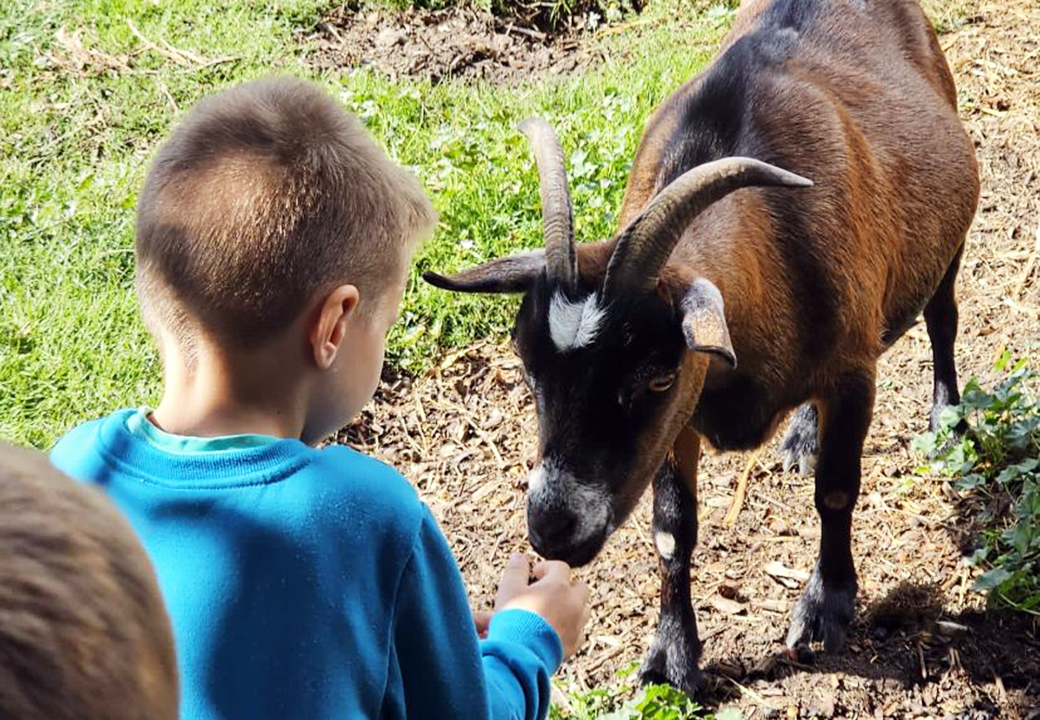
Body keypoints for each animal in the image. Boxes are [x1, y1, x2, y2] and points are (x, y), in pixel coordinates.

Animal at [424, 0, 979, 692]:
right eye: (528, 368)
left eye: (654, 376)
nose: (553, 529)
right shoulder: (678, 421)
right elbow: (672, 530)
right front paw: (671, 656)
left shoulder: (850, 374)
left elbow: (836, 490)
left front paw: (825, 608)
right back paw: (802, 435)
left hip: (947, 244)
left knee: (943, 318)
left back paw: (948, 420)